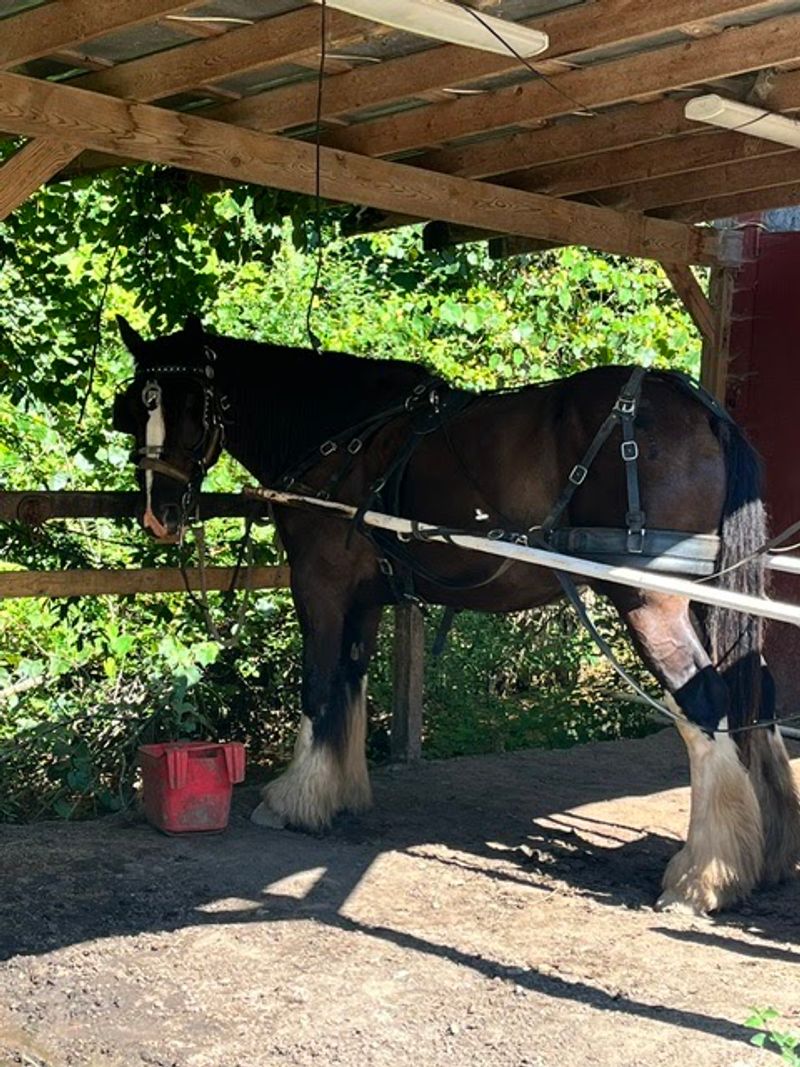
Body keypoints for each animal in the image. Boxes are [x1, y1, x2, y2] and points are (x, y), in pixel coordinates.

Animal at [112, 314, 800, 915]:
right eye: (135, 410)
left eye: (191, 406)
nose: (158, 513)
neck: (339, 430)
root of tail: (702, 409)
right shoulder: (364, 599)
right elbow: (351, 685)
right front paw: (341, 792)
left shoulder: (320, 584)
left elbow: (318, 685)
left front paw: (293, 799)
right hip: (706, 598)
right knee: (755, 694)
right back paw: (766, 855)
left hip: (650, 600)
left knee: (706, 705)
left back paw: (702, 878)